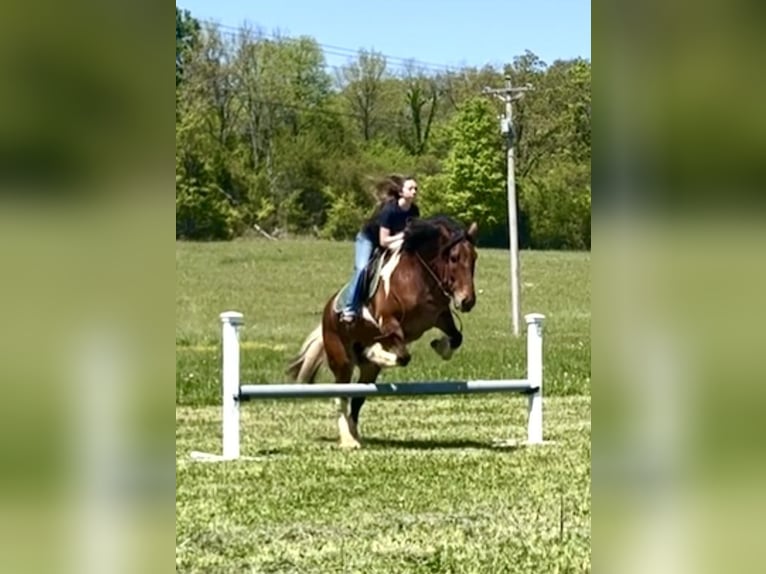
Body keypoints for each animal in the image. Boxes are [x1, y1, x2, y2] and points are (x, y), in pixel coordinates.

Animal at [288, 216, 480, 450]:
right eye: (453, 258)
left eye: (474, 258)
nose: (467, 301)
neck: (419, 276)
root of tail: (327, 312)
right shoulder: (389, 323)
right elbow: (404, 356)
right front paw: (375, 352)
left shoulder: (440, 316)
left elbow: (456, 337)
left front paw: (441, 346)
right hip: (341, 360)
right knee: (342, 395)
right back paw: (348, 439)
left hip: (368, 372)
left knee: (358, 397)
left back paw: (355, 433)